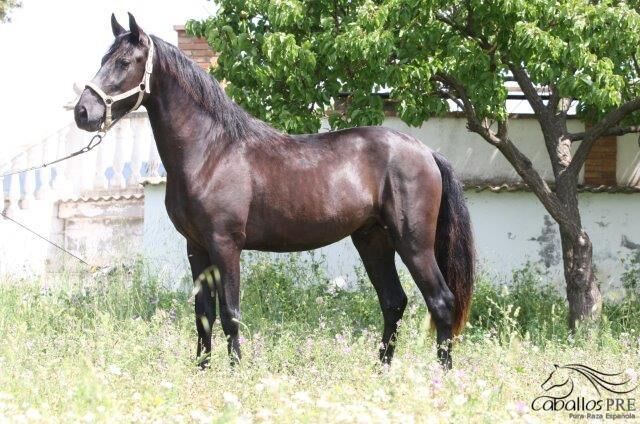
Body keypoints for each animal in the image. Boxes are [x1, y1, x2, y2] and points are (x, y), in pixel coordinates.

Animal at [75, 13, 476, 368]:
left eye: (125, 61)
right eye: (102, 59)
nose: (83, 112)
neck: (211, 151)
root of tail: (426, 152)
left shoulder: (225, 245)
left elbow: (230, 313)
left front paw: (236, 374)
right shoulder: (196, 248)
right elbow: (203, 314)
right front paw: (201, 372)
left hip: (413, 243)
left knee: (441, 302)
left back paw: (442, 377)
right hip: (373, 240)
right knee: (394, 303)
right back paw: (381, 373)